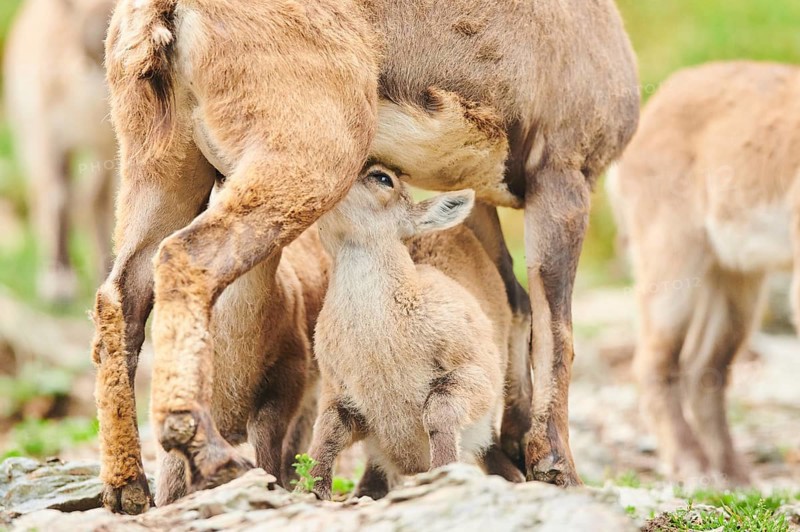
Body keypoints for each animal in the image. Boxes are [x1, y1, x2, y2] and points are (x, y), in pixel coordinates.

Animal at [4, 0, 116, 302]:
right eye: (87, 51)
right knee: (40, 193)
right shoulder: (50, 137)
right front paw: (58, 284)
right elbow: (59, 198)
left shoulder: (107, 150)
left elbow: (96, 199)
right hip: (28, 136)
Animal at [308, 164, 523, 500]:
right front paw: (312, 489)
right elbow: (329, 431)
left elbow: (438, 408)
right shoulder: (338, 388)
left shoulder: (476, 370)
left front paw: (443, 471)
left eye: (382, 177)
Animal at [607, 61, 800, 485]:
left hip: (734, 278)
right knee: (655, 362)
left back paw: (735, 475)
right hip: (671, 258)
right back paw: (690, 465)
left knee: (705, 369)